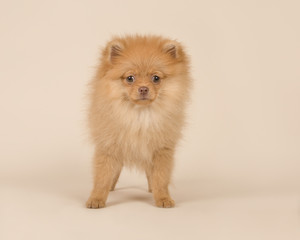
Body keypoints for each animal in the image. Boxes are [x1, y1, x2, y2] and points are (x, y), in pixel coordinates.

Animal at [85, 34, 191, 208]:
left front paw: (163, 198)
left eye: (156, 78)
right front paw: (97, 198)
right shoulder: (108, 146)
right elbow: (103, 176)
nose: (143, 89)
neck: (140, 115)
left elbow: (161, 177)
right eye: (130, 78)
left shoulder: (161, 150)